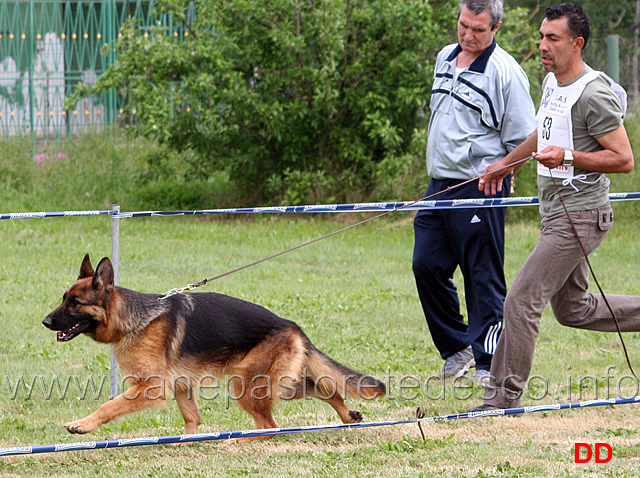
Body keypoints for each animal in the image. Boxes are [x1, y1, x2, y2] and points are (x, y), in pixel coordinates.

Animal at [43, 256, 384, 438]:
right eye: (63, 298)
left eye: (75, 303)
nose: (45, 321)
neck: (133, 319)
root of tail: (291, 324)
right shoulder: (181, 385)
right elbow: (191, 418)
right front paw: (186, 442)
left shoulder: (151, 387)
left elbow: (109, 405)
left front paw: (83, 424)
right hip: (278, 384)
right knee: (325, 388)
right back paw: (347, 415)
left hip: (247, 385)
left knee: (270, 425)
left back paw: (239, 442)